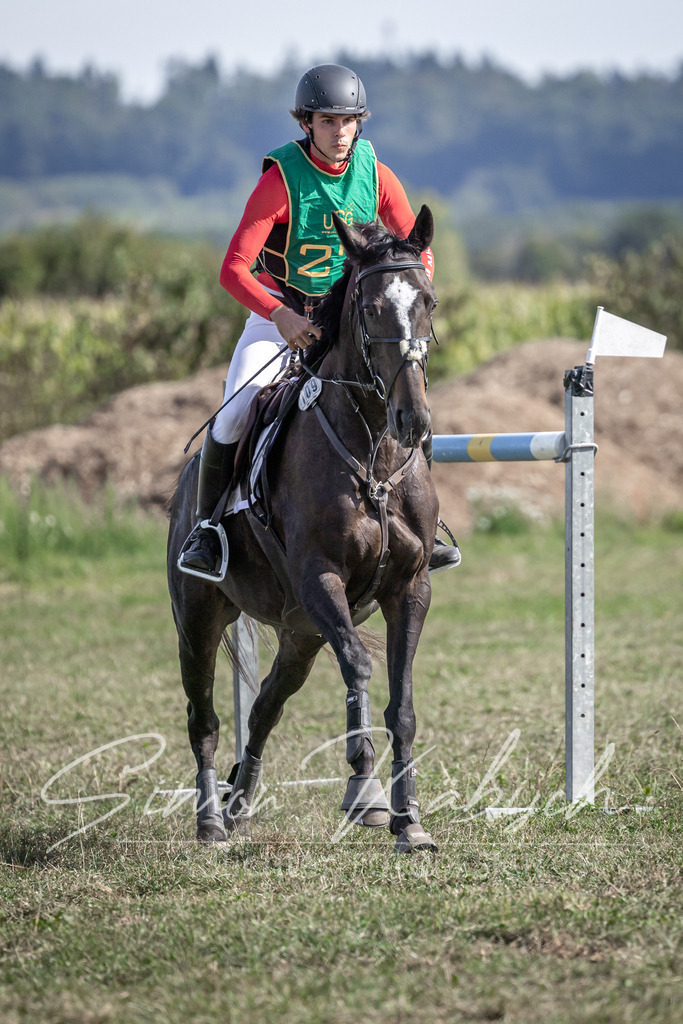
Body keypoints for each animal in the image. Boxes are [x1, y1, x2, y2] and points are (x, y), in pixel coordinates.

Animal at [167, 205, 440, 854]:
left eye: (427, 302)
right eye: (371, 308)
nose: (413, 419)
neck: (374, 454)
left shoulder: (410, 589)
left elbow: (403, 704)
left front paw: (409, 820)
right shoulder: (321, 579)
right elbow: (360, 668)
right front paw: (365, 794)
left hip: (300, 634)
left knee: (264, 707)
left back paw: (240, 802)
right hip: (200, 619)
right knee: (204, 718)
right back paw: (210, 819)